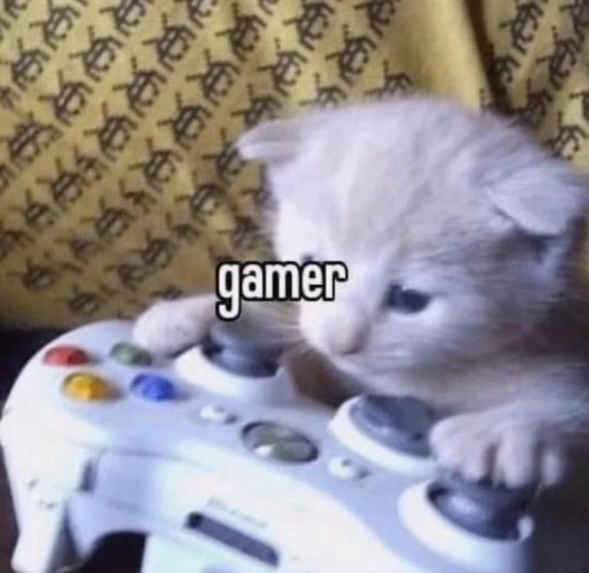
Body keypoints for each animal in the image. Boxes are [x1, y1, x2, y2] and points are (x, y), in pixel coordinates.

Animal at [133, 94, 589, 492]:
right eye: (312, 269)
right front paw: (189, 315)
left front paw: (502, 431)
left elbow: (569, 404)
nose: (341, 343)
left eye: (408, 299)